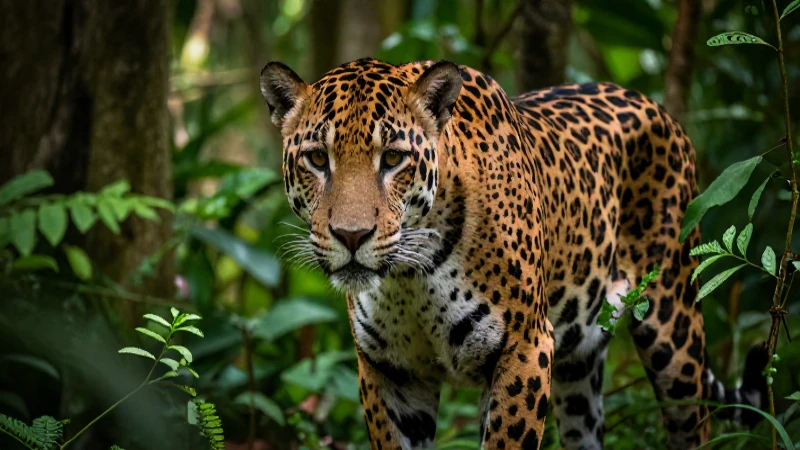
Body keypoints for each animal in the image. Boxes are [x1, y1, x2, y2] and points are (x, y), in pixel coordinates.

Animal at [259, 58, 768, 450]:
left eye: (393, 159)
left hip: (674, 332)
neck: (410, 274)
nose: (352, 236)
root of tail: (656, 106)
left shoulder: (525, 349)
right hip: (579, 366)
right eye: (317, 159)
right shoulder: (389, 370)